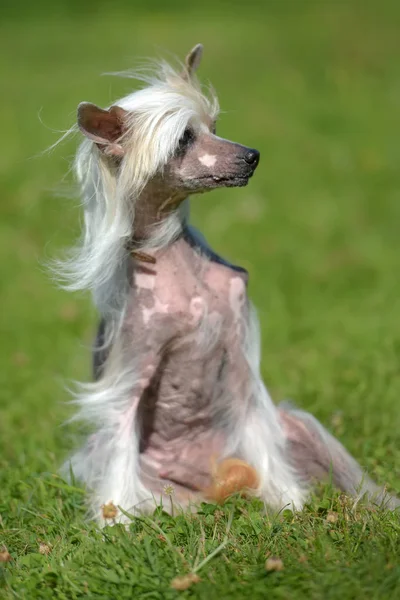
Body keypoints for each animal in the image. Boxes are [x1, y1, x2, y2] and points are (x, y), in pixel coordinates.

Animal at [55, 44, 396, 520]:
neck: (182, 269)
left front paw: (287, 502)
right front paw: (115, 517)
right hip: (165, 494)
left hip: (301, 427)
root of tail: (213, 484)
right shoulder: (133, 366)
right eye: (183, 139)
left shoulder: (239, 357)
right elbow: (120, 432)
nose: (253, 155)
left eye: (213, 127)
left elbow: (260, 431)